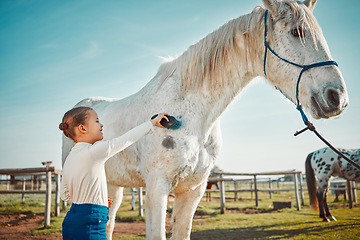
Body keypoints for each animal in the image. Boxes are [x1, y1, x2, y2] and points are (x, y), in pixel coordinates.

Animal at [62, 0, 348, 239]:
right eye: (296, 32)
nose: (338, 98)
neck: (190, 118)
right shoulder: (156, 189)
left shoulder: (193, 191)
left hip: (111, 184)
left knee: (108, 223)